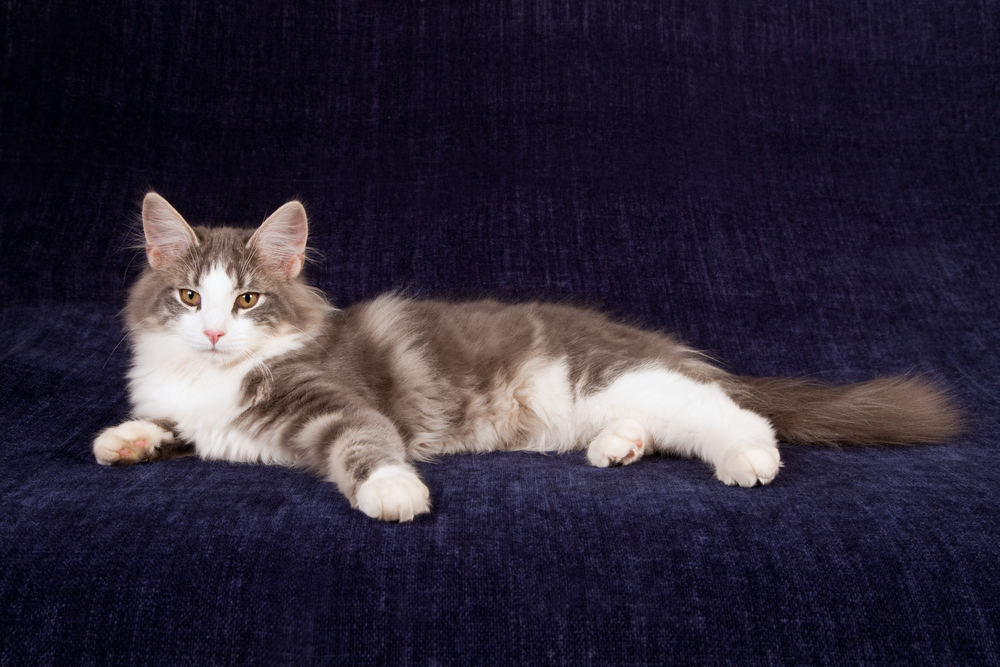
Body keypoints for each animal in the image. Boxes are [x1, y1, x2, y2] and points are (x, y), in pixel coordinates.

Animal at [94, 192, 960, 520]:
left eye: (247, 301)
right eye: (188, 297)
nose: (213, 331)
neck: (214, 375)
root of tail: (651, 342)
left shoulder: (335, 399)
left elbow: (365, 443)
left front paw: (395, 490)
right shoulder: (197, 411)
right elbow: (167, 422)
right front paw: (125, 438)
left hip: (616, 375)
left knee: (728, 411)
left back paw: (748, 456)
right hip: (615, 394)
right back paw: (620, 445)